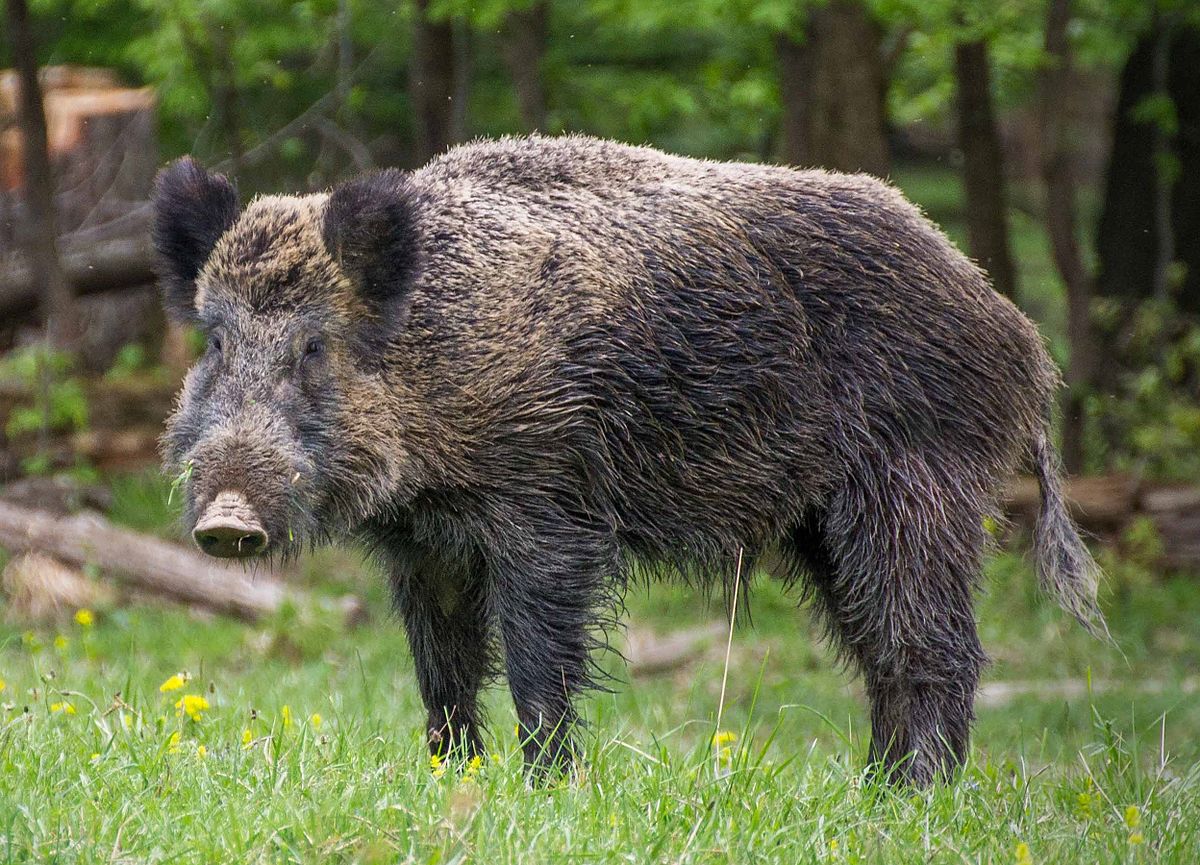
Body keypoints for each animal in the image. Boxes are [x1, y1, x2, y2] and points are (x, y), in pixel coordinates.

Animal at [154, 134, 1103, 786]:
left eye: (314, 346)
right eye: (214, 340)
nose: (227, 520)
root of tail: (1021, 338)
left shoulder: (547, 506)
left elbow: (538, 662)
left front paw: (543, 790)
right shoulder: (426, 546)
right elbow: (442, 671)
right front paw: (451, 775)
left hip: (916, 483)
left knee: (934, 645)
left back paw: (914, 797)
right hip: (824, 526)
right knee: (879, 650)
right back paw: (873, 789)